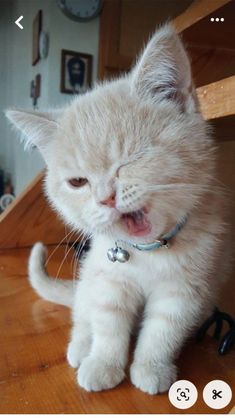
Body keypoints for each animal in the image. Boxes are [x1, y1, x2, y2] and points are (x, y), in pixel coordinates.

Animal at [5, 25, 228, 396]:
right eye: (78, 182)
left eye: (134, 159)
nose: (106, 198)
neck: (150, 253)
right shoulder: (108, 277)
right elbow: (108, 323)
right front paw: (103, 365)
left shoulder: (185, 289)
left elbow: (163, 329)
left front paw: (151, 367)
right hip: (88, 278)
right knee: (83, 314)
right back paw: (81, 347)